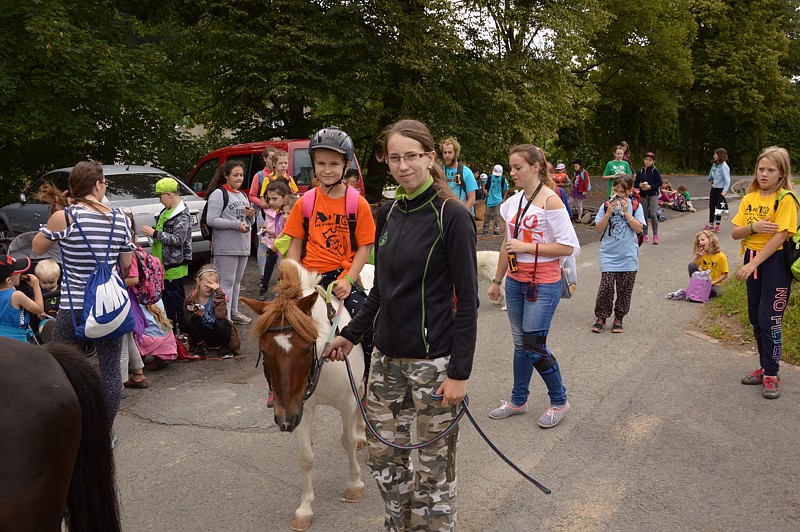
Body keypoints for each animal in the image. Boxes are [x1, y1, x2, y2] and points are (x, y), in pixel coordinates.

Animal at [241, 258, 368, 532]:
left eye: (305, 348)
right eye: (264, 351)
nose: (283, 421)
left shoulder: (346, 403)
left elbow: (347, 442)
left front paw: (354, 485)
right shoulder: (301, 407)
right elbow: (305, 457)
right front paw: (305, 508)